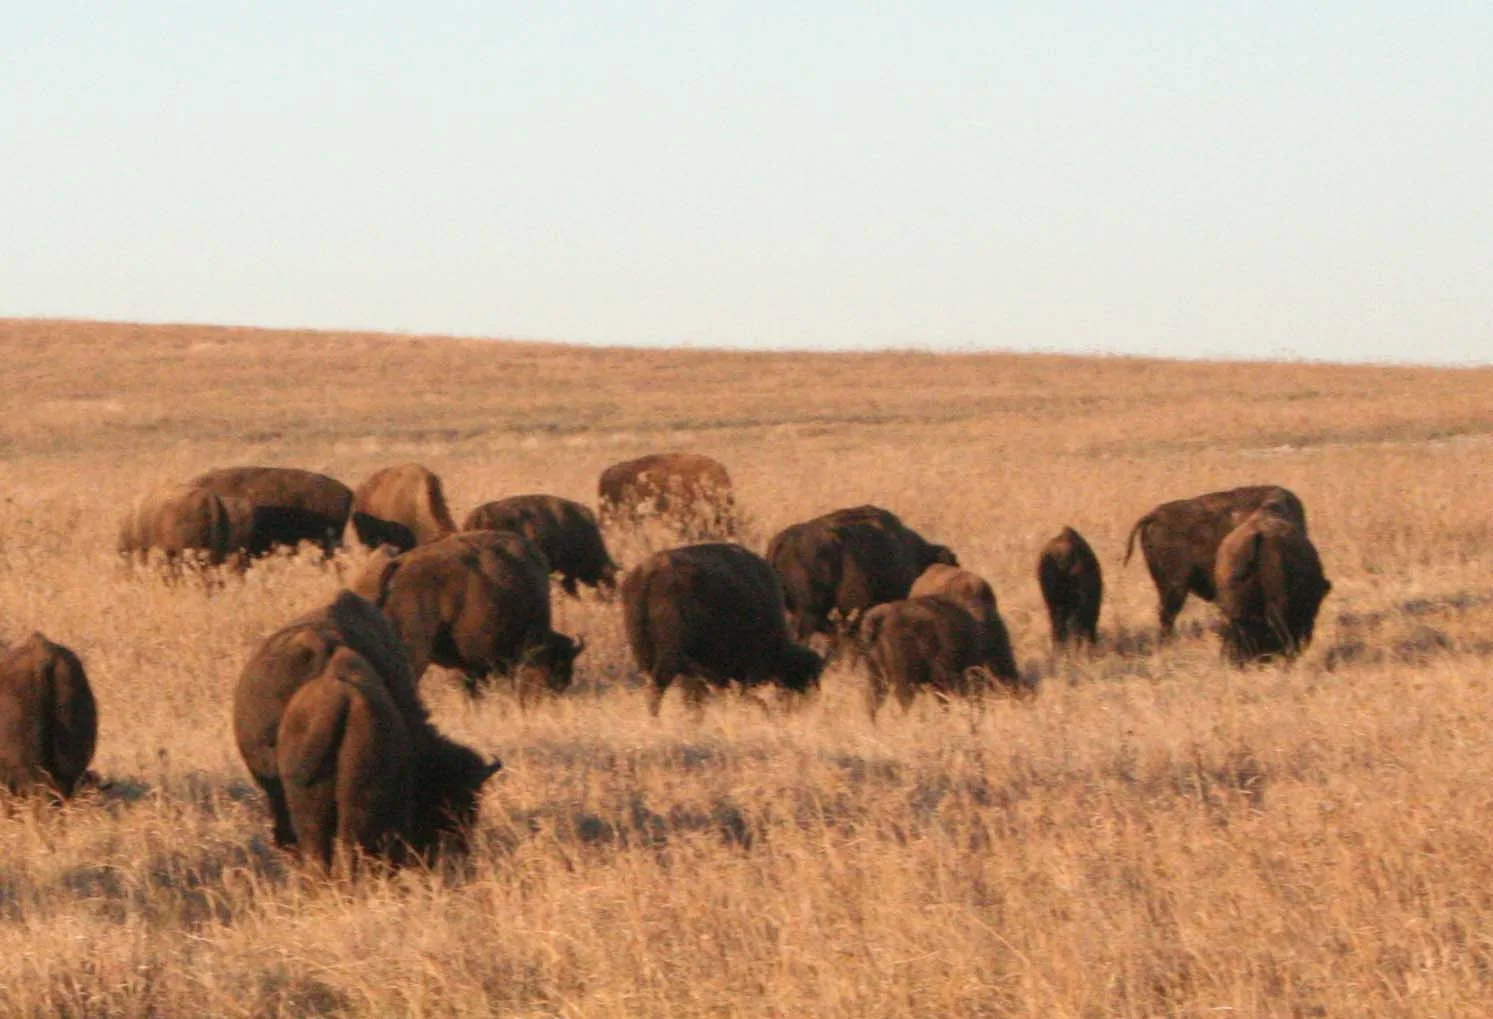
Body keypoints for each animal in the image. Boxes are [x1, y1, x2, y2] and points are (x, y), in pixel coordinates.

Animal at [621, 542, 823, 716]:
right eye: (805, 678)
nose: (809, 703)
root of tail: (650, 570)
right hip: (669, 657)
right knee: (658, 687)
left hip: (646, 654)